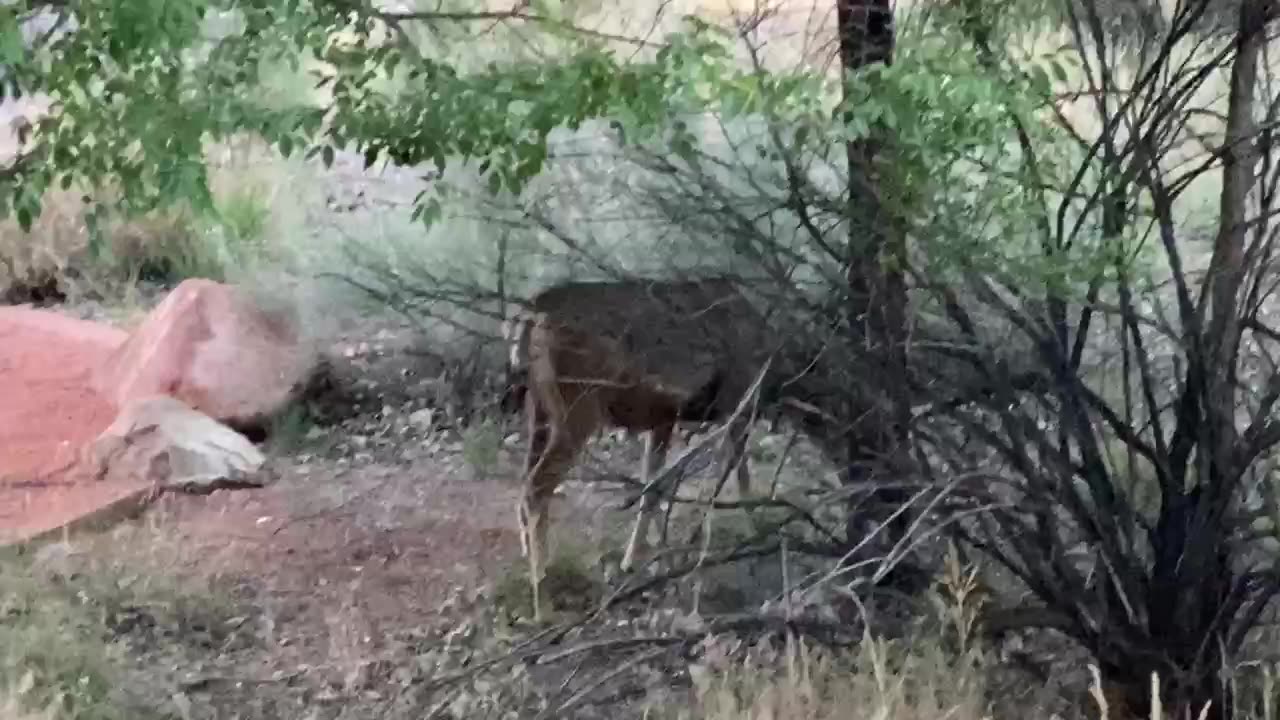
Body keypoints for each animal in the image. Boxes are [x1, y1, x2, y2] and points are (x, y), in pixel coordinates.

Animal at [504, 274, 768, 617]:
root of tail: (528, 318)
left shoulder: (663, 418)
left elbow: (652, 484)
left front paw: (646, 560)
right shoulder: (733, 401)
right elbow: (737, 472)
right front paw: (753, 535)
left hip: (537, 409)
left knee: (525, 480)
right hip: (578, 407)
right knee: (536, 486)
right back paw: (543, 596)